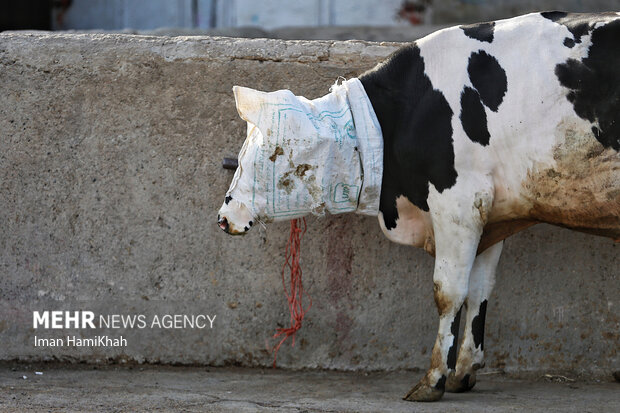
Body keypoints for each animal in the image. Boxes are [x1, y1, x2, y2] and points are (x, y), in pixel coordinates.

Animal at [219, 11, 620, 400]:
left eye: (261, 157)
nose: (224, 216)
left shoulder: (459, 202)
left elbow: (449, 292)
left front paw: (434, 379)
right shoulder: (492, 212)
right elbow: (479, 289)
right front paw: (463, 372)